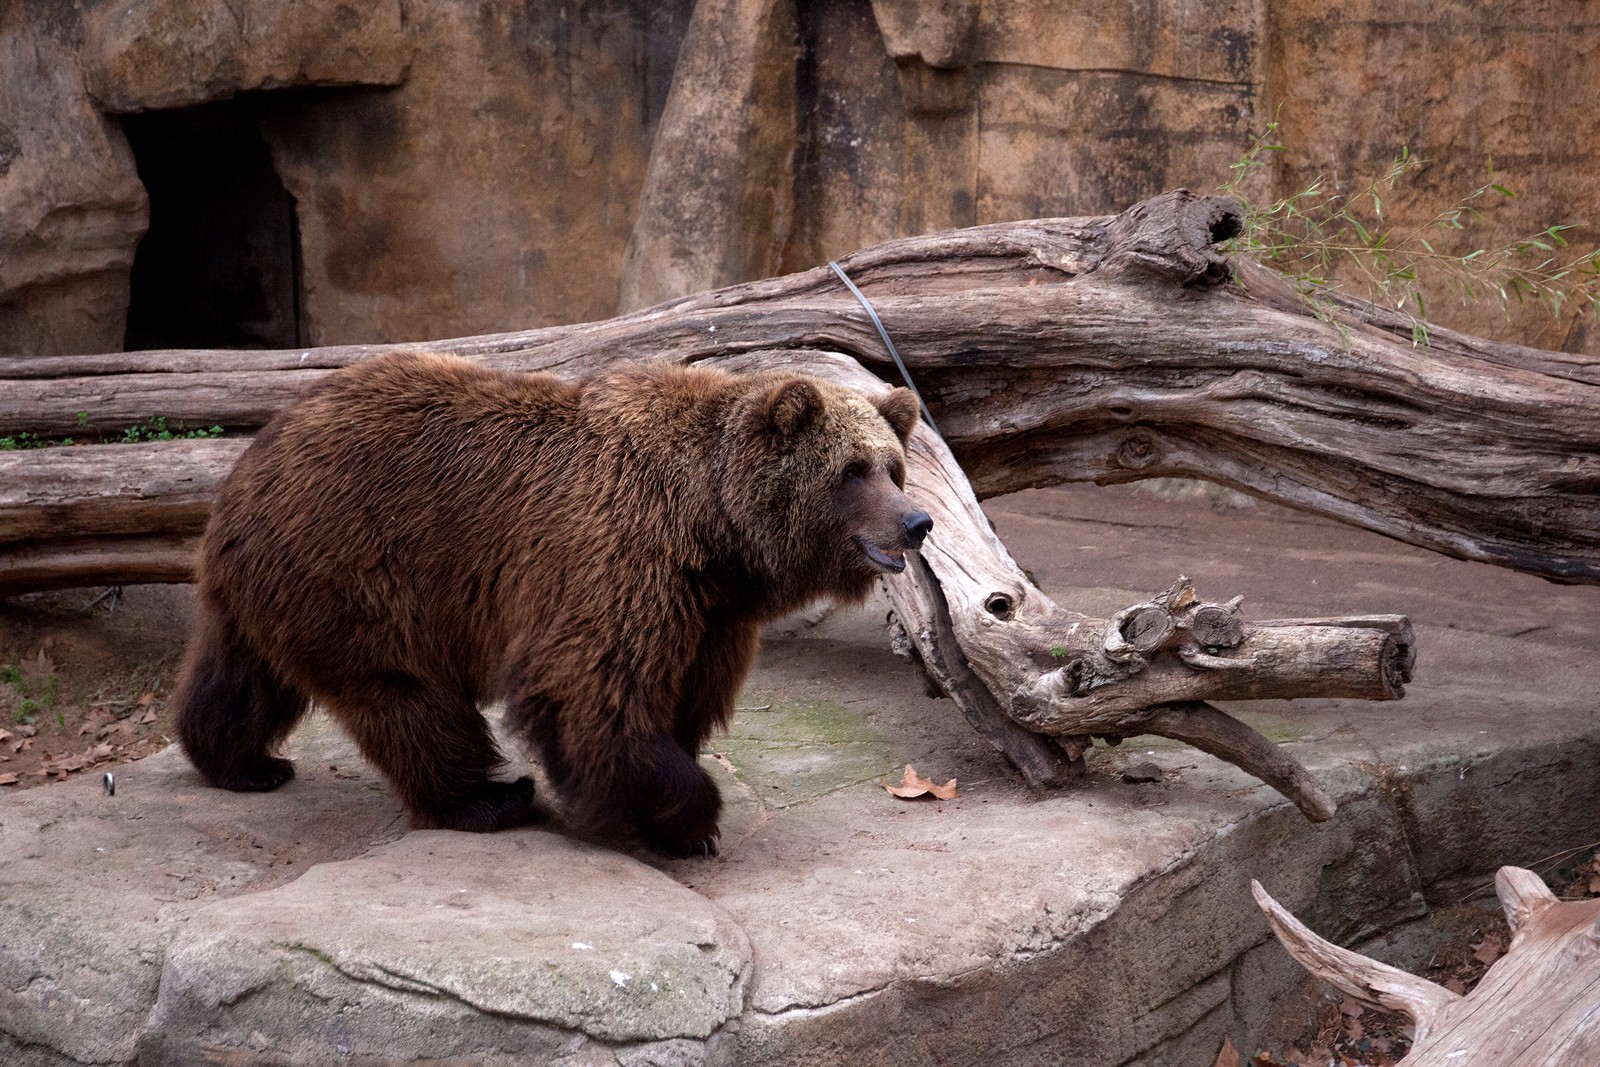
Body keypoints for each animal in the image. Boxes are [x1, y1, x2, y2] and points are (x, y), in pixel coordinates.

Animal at [173, 355, 928, 857]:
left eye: (893, 468)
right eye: (851, 471)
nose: (916, 522)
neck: (713, 529)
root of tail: (250, 456)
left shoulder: (712, 613)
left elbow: (683, 692)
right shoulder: (618, 553)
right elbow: (592, 693)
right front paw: (685, 817)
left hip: (279, 580)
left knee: (243, 672)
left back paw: (241, 762)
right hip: (358, 560)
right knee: (403, 692)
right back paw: (486, 797)